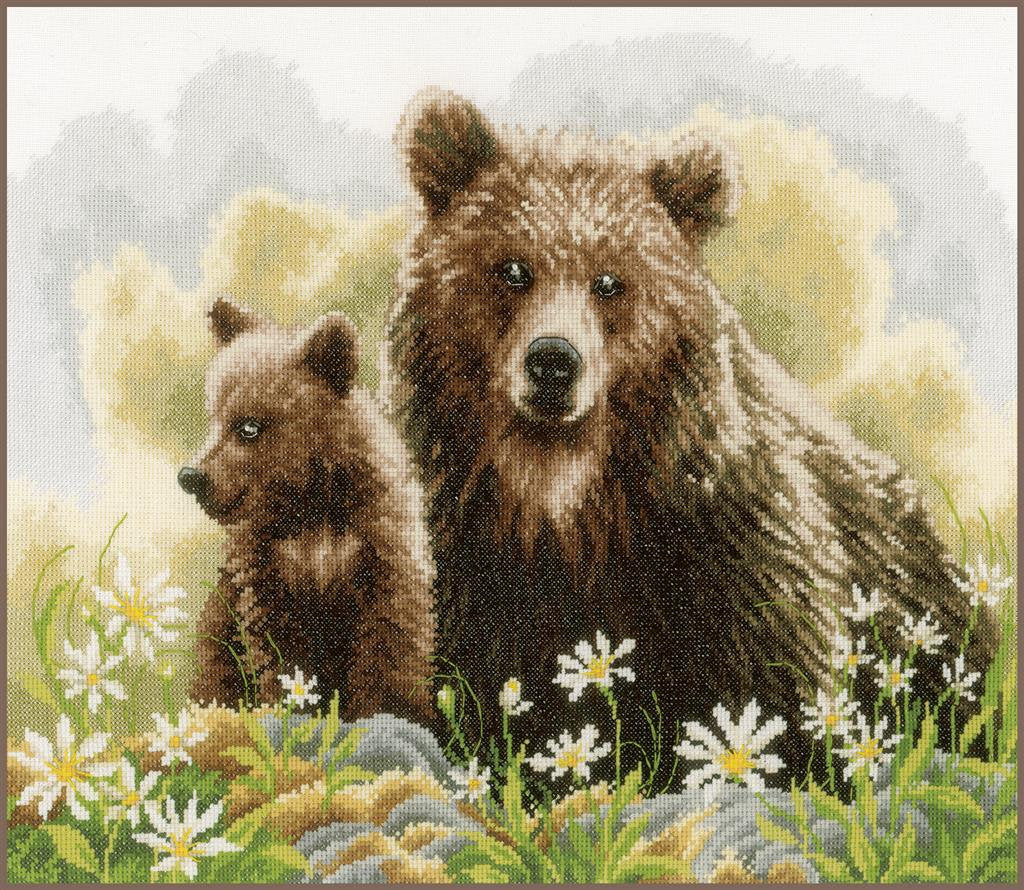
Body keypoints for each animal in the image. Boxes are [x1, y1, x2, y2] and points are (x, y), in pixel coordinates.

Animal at [179, 298, 436, 723]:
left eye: (248, 427)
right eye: (213, 418)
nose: (191, 476)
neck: (311, 505)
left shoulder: (380, 549)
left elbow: (390, 638)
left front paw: (389, 714)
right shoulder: (267, 573)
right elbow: (281, 656)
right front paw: (295, 712)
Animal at [385, 87, 997, 777]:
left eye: (609, 281)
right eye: (512, 268)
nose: (553, 360)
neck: (564, 501)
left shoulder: (727, 547)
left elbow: (772, 689)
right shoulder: (460, 550)